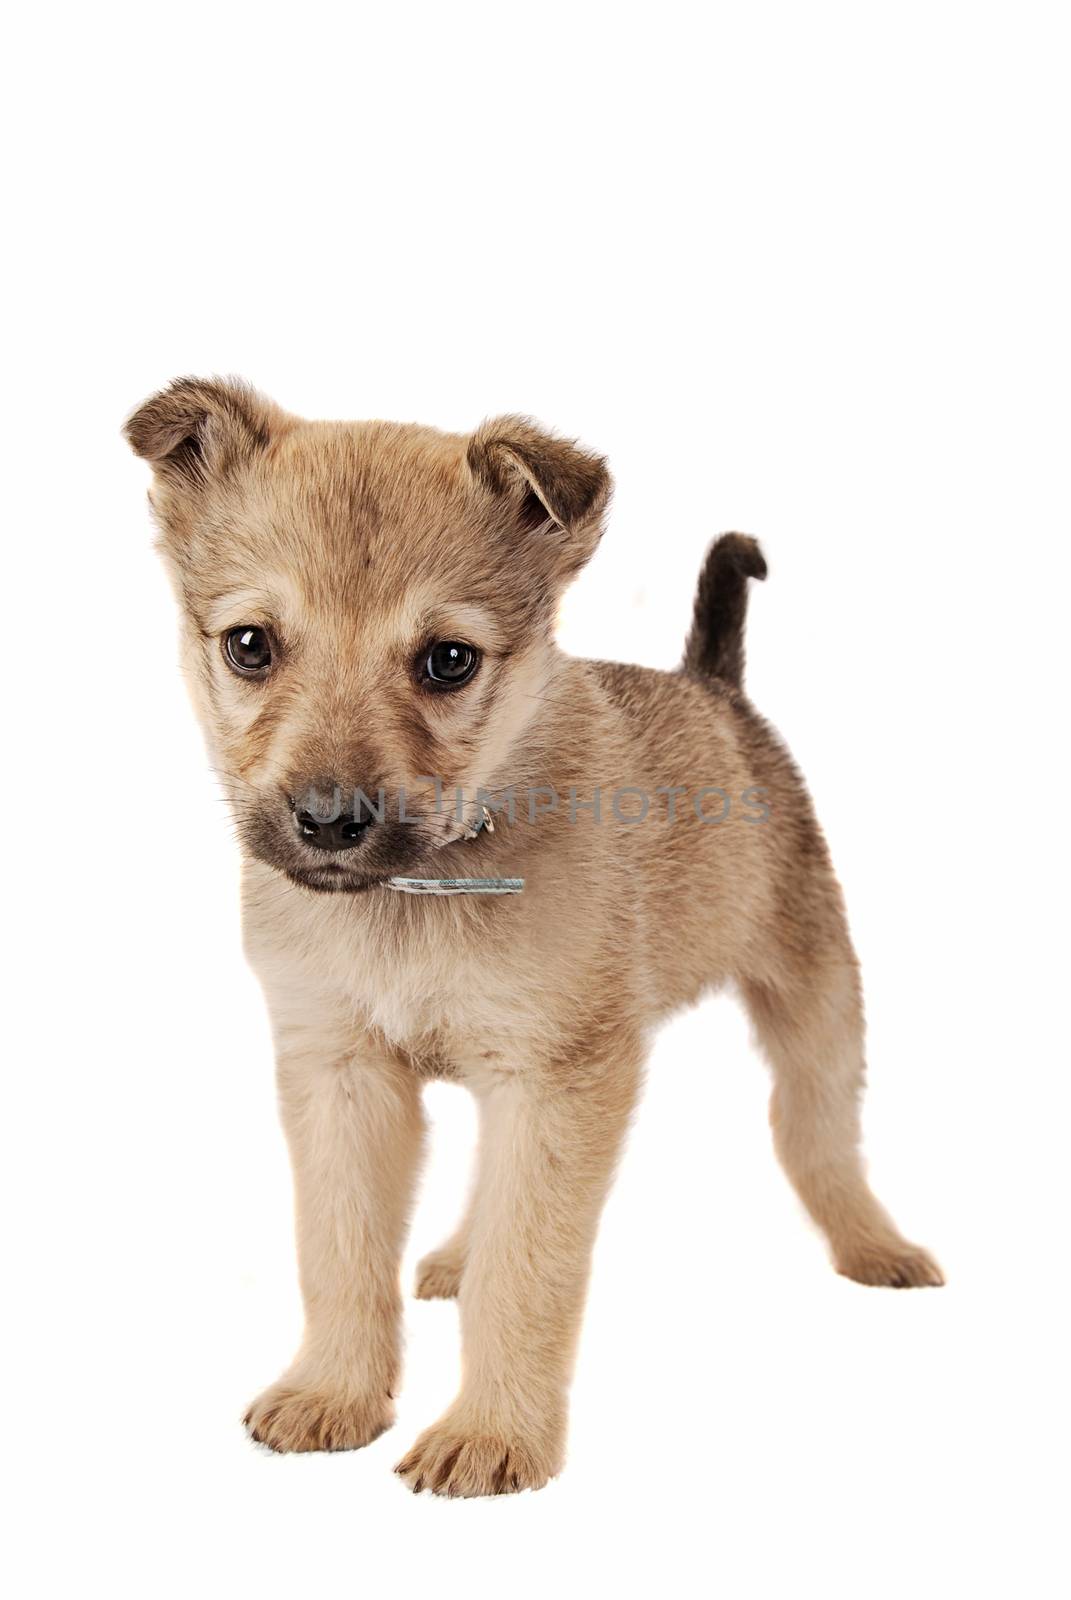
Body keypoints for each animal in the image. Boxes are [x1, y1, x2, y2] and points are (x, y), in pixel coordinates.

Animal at [127, 377, 941, 1497]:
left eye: (448, 660)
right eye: (251, 644)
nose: (330, 821)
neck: (420, 888)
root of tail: (715, 687)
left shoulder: (561, 1076)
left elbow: (527, 1269)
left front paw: (493, 1434)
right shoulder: (342, 1074)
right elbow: (338, 1247)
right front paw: (335, 1391)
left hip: (815, 996)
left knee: (816, 1132)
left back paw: (874, 1246)